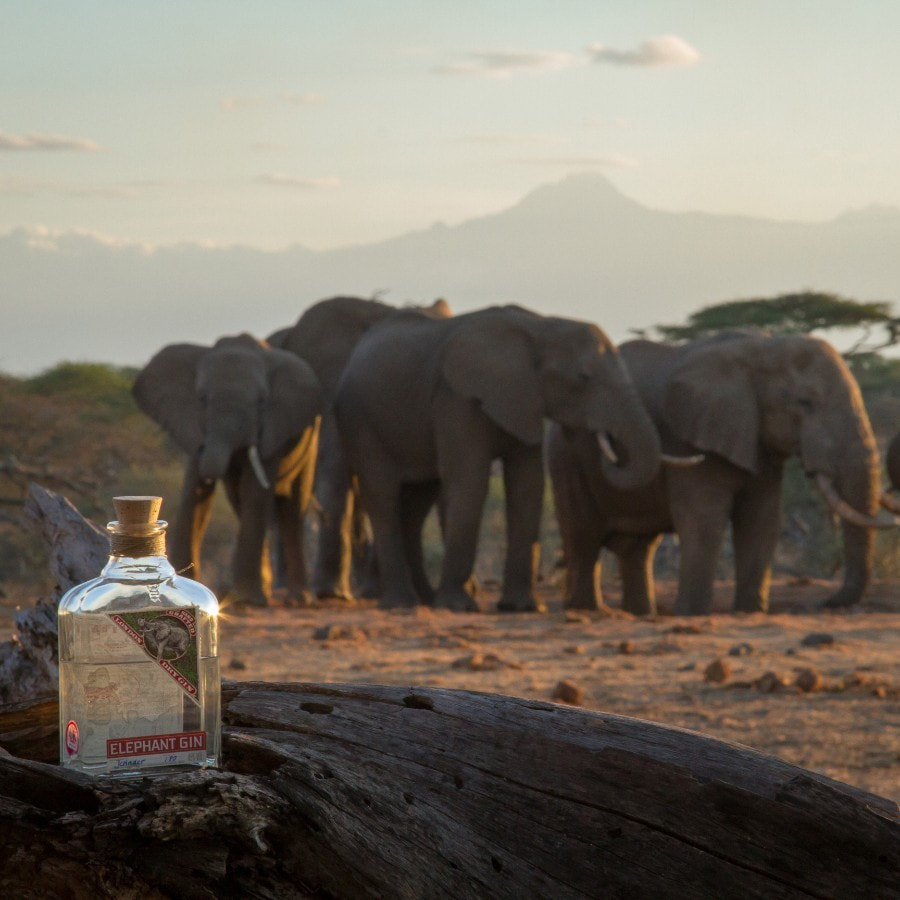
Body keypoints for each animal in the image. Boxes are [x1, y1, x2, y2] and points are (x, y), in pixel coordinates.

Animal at [133, 333, 322, 608]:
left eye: (262, 402)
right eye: (201, 398)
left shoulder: (272, 428)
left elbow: (255, 491)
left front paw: (248, 599)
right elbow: (194, 492)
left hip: (310, 437)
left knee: (292, 507)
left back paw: (298, 600)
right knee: (239, 500)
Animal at [333, 304, 664, 612]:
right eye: (584, 378)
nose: (608, 442)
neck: (541, 325)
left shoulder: (525, 399)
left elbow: (528, 483)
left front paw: (523, 607)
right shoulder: (457, 398)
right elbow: (470, 481)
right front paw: (459, 607)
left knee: (417, 500)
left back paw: (424, 599)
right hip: (361, 420)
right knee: (383, 496)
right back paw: (402, 604)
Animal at [548, 331, 899, 616]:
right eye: (805, 403)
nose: (826, 603)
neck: (762, 347)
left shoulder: (755, 439)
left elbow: (762, 519)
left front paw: (750, 612)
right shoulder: (691, 435)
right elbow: (705, 520)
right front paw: (692, 614)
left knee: (638, 549)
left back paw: (639, 615)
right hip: (566, 456)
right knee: (582, 538)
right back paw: (586, 610)